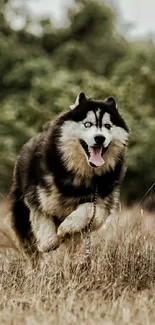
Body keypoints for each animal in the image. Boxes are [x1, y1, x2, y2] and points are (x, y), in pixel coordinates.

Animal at [8, 92, 130, 256]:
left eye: (108, 126)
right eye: (87, 124)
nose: (100, 138)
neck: (79, 174)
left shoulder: (103, 202)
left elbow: (89, 209)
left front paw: (67, 227)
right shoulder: (35, 197)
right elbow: (44, 222)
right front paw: (48, 242)